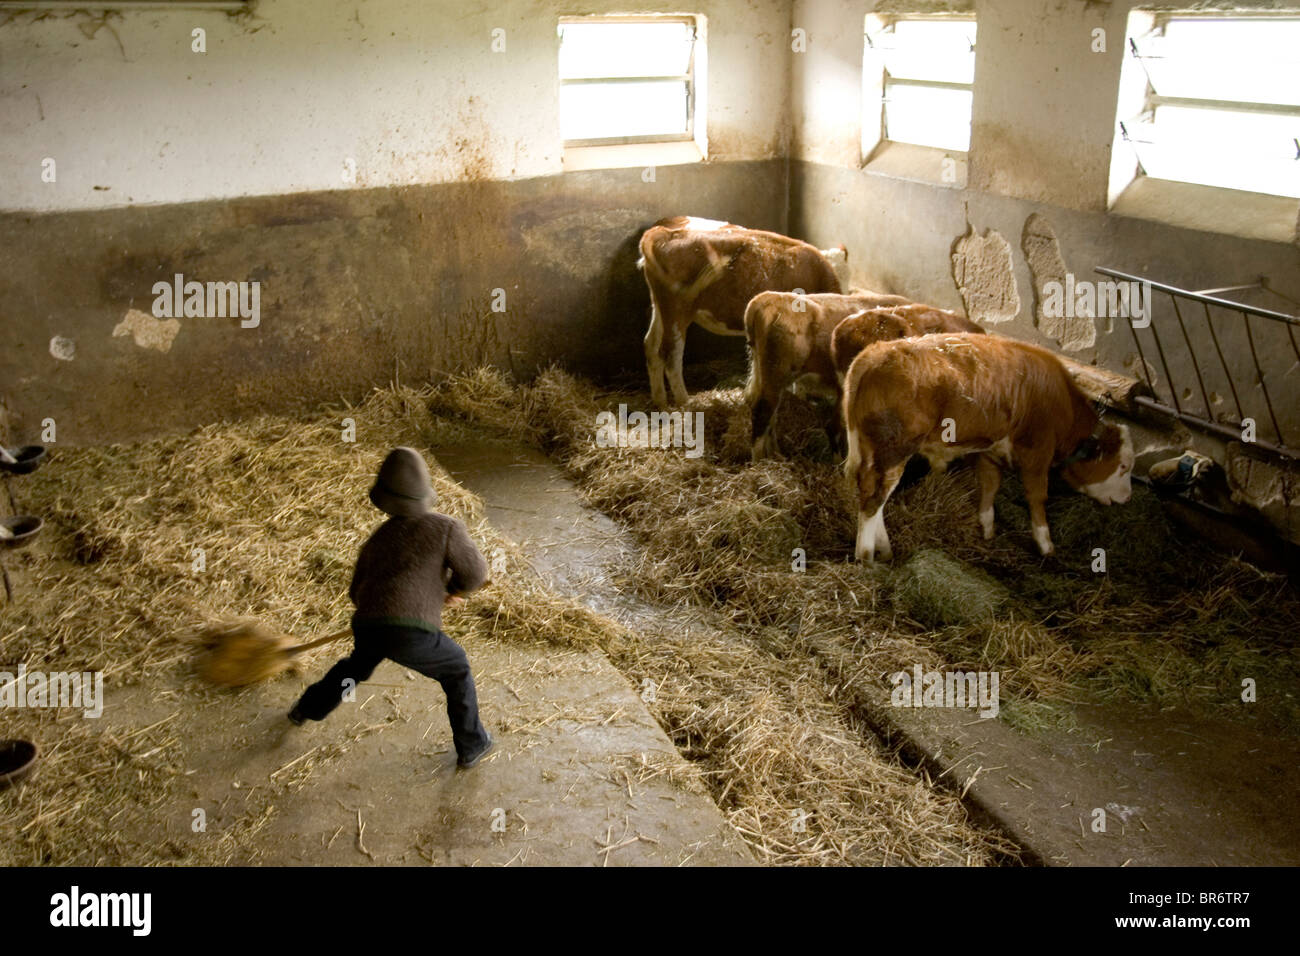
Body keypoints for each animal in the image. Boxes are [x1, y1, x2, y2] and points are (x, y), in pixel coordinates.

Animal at [642, 217, 852, 408]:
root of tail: (662, 232)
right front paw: (798, 397)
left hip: (660, 308)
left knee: (651, 345)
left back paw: (660, 401)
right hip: (678, 311)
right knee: (671, 354)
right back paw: (685, 402)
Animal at [842, 335, 1128, 561]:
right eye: (1124, 466)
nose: (1127, 499)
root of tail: (874, 353)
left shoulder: (991, 451)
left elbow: (990, 485)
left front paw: (987, 528)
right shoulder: (1037, 454)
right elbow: (1037, 498)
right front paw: (1046, 545)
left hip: (870, 448)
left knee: (870, 492)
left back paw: (884, 550)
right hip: (893, 450)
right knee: (874, 497)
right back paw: (866, 556)